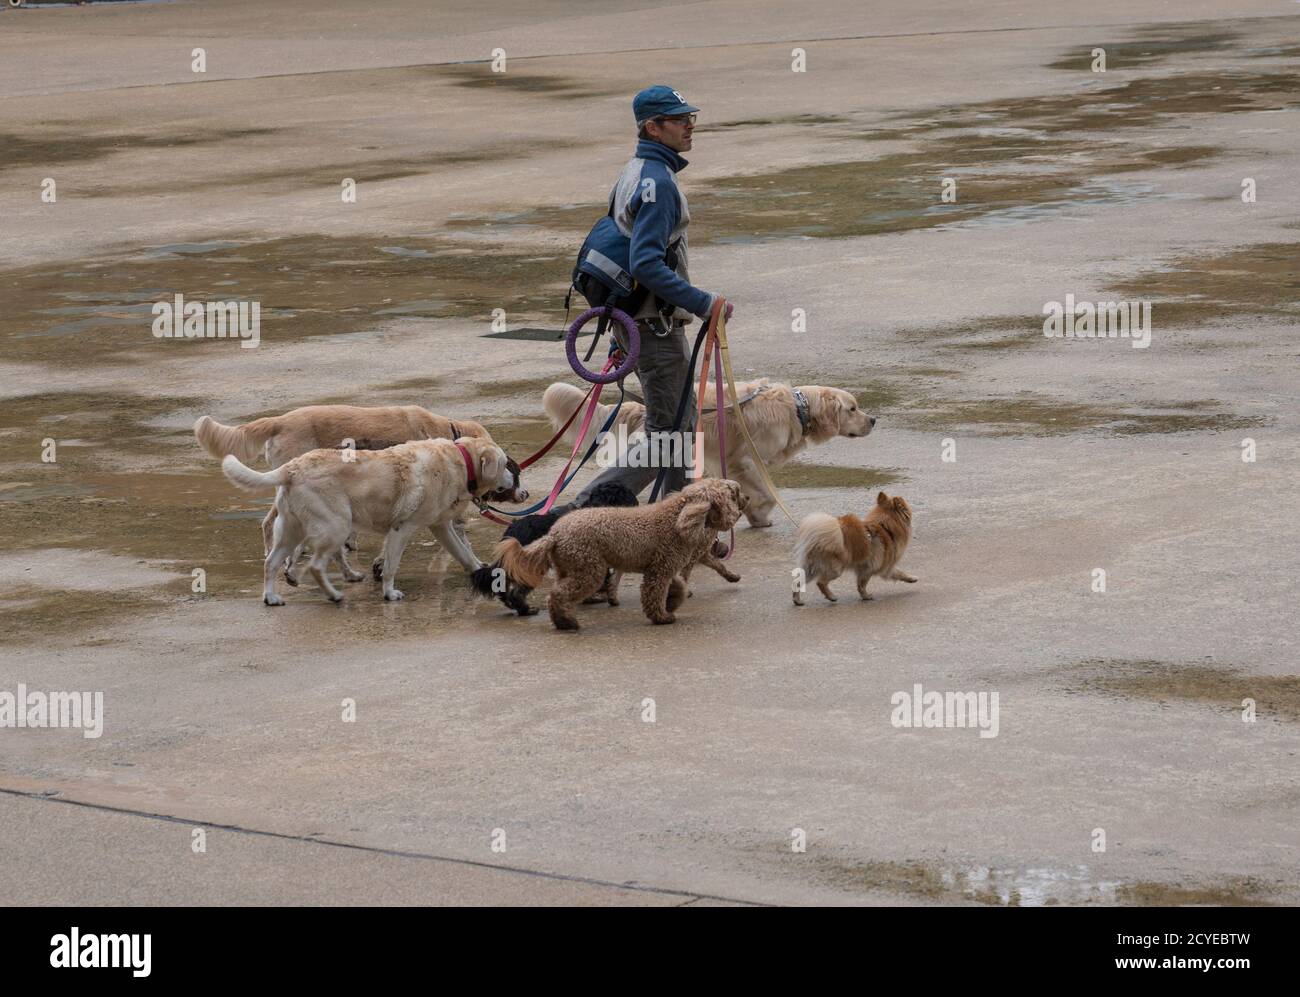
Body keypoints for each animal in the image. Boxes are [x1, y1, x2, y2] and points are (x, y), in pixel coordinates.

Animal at [220, 434, 514, 603]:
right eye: (504, 464)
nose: (514, 477)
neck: (462, 460)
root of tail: (291, 468)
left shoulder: (440, 526)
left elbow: (463, 553)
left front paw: (480, 571)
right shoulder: (402, 529)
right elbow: (391, 565)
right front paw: (389, 593)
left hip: (291, 532)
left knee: (271, 563)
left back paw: (271, 597)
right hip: (336, 527)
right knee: (315, 565)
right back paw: (334, 595)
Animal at [491, 478, 748, 631]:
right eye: (733, 493)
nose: (745, 501)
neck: (677, 517)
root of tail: (554, 534)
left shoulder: (663, 569)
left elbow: (679, 586)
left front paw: (672, 603)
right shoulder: (659, 572)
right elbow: (653, 595)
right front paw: (661, 617)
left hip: (569, 568)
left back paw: (562, 619)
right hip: (589, 570)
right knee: (558, 594)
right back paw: (568, 621)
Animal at [785, 488, 920, 603]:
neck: (885, 527)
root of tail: (817, 540)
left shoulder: (877, 567)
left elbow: (899, 573)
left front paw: (912, 578)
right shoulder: (873, 568)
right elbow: (863, 584)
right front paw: (866, 596)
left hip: (810, 568)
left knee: (797, 582)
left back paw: (797, 600)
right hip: (835, 569)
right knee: (821, 582)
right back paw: (831, 597)